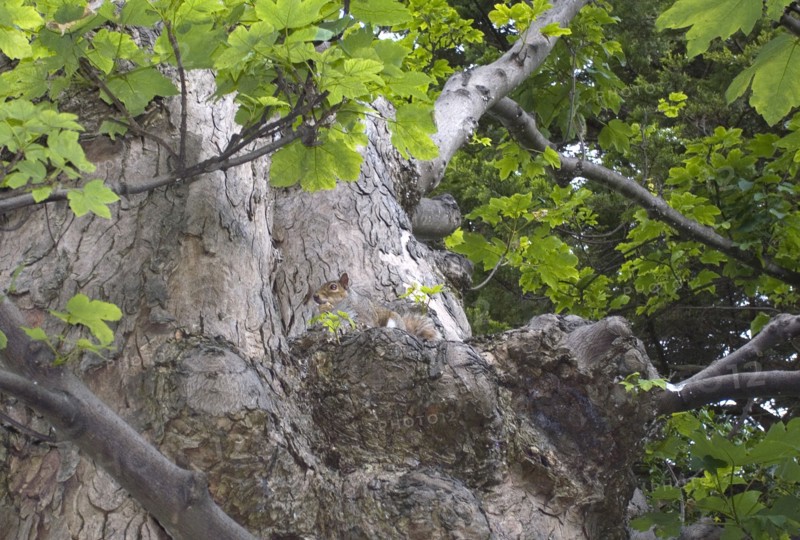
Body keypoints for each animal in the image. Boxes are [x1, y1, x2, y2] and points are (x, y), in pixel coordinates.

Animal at [311, 273, 441, 341]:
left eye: (333, 287)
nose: (315, 296)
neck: (340, 306)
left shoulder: (363, 313)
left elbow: (364, 322)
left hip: (393, 320)